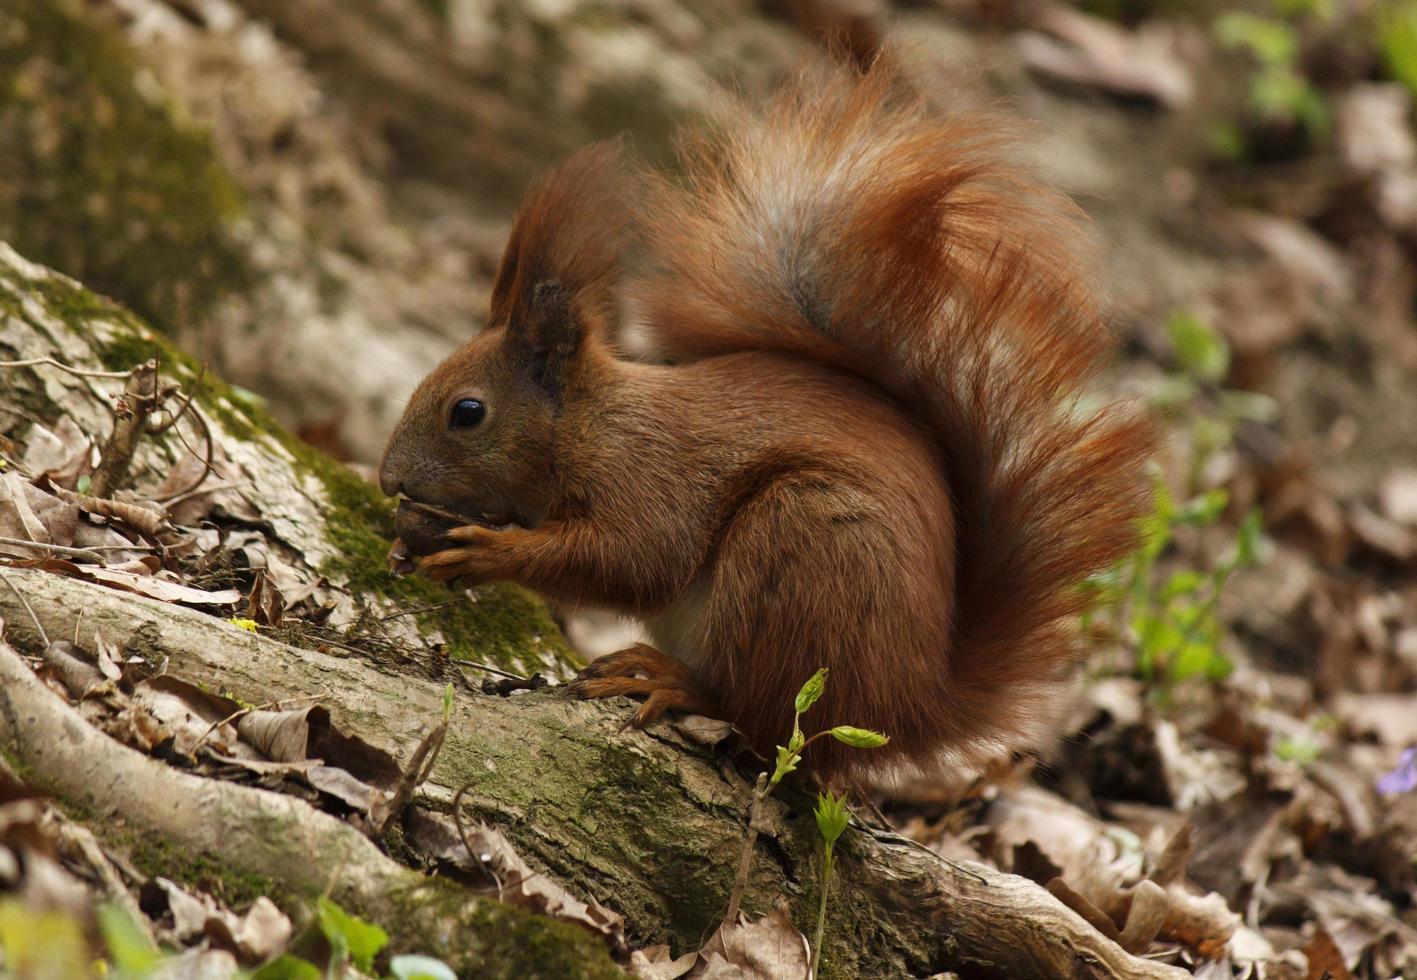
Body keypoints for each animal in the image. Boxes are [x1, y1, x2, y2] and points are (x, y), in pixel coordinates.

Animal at [376, 55, 1150, 781]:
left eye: (467, 412)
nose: (387, 481)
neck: (588, 425)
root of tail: (911, 706)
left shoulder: (647, 476)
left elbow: (634, 560)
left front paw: (486, 553)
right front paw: (403, 550)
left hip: (802, 548)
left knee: (767, 715)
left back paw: (671, 683)